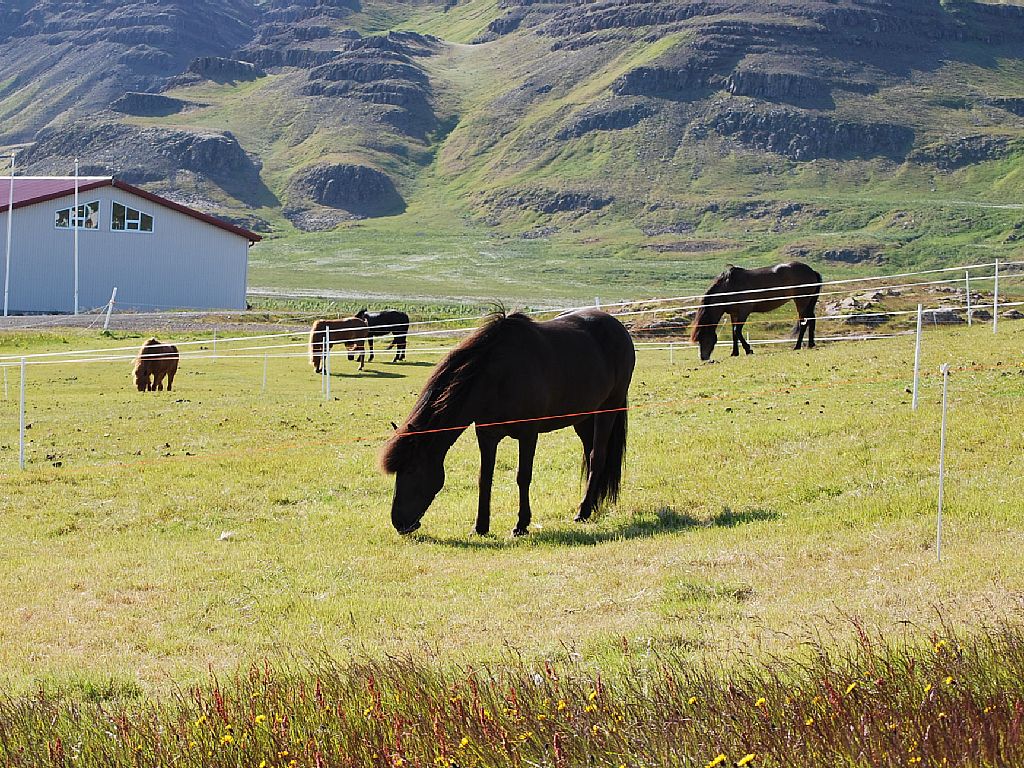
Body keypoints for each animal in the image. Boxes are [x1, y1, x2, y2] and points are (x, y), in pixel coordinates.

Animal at [380, 309, 630, 536]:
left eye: (411, 469)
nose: (398, 523)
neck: (499, 376)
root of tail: (618, 327)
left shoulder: (528, 434)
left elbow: (523, 476)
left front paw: (521, 525)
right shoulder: (487, 435)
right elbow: (485, 478)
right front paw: (480, 527)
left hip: (608, 410)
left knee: (597, 457)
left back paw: (584, 511)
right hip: (584, 417)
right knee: (590, 454)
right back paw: (592, 504)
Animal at [688, 262, 823, 364]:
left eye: (703, 337)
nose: (703, 357)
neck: (729, 286)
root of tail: (812, 271)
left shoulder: (744, 311)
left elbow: (737, 331)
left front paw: (748, 350)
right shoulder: (734, 314)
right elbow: (734, 333)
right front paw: (734, 353)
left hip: (801, 301)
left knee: (804, 322)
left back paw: (797, 346)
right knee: (811, 319)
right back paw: (810, 344)